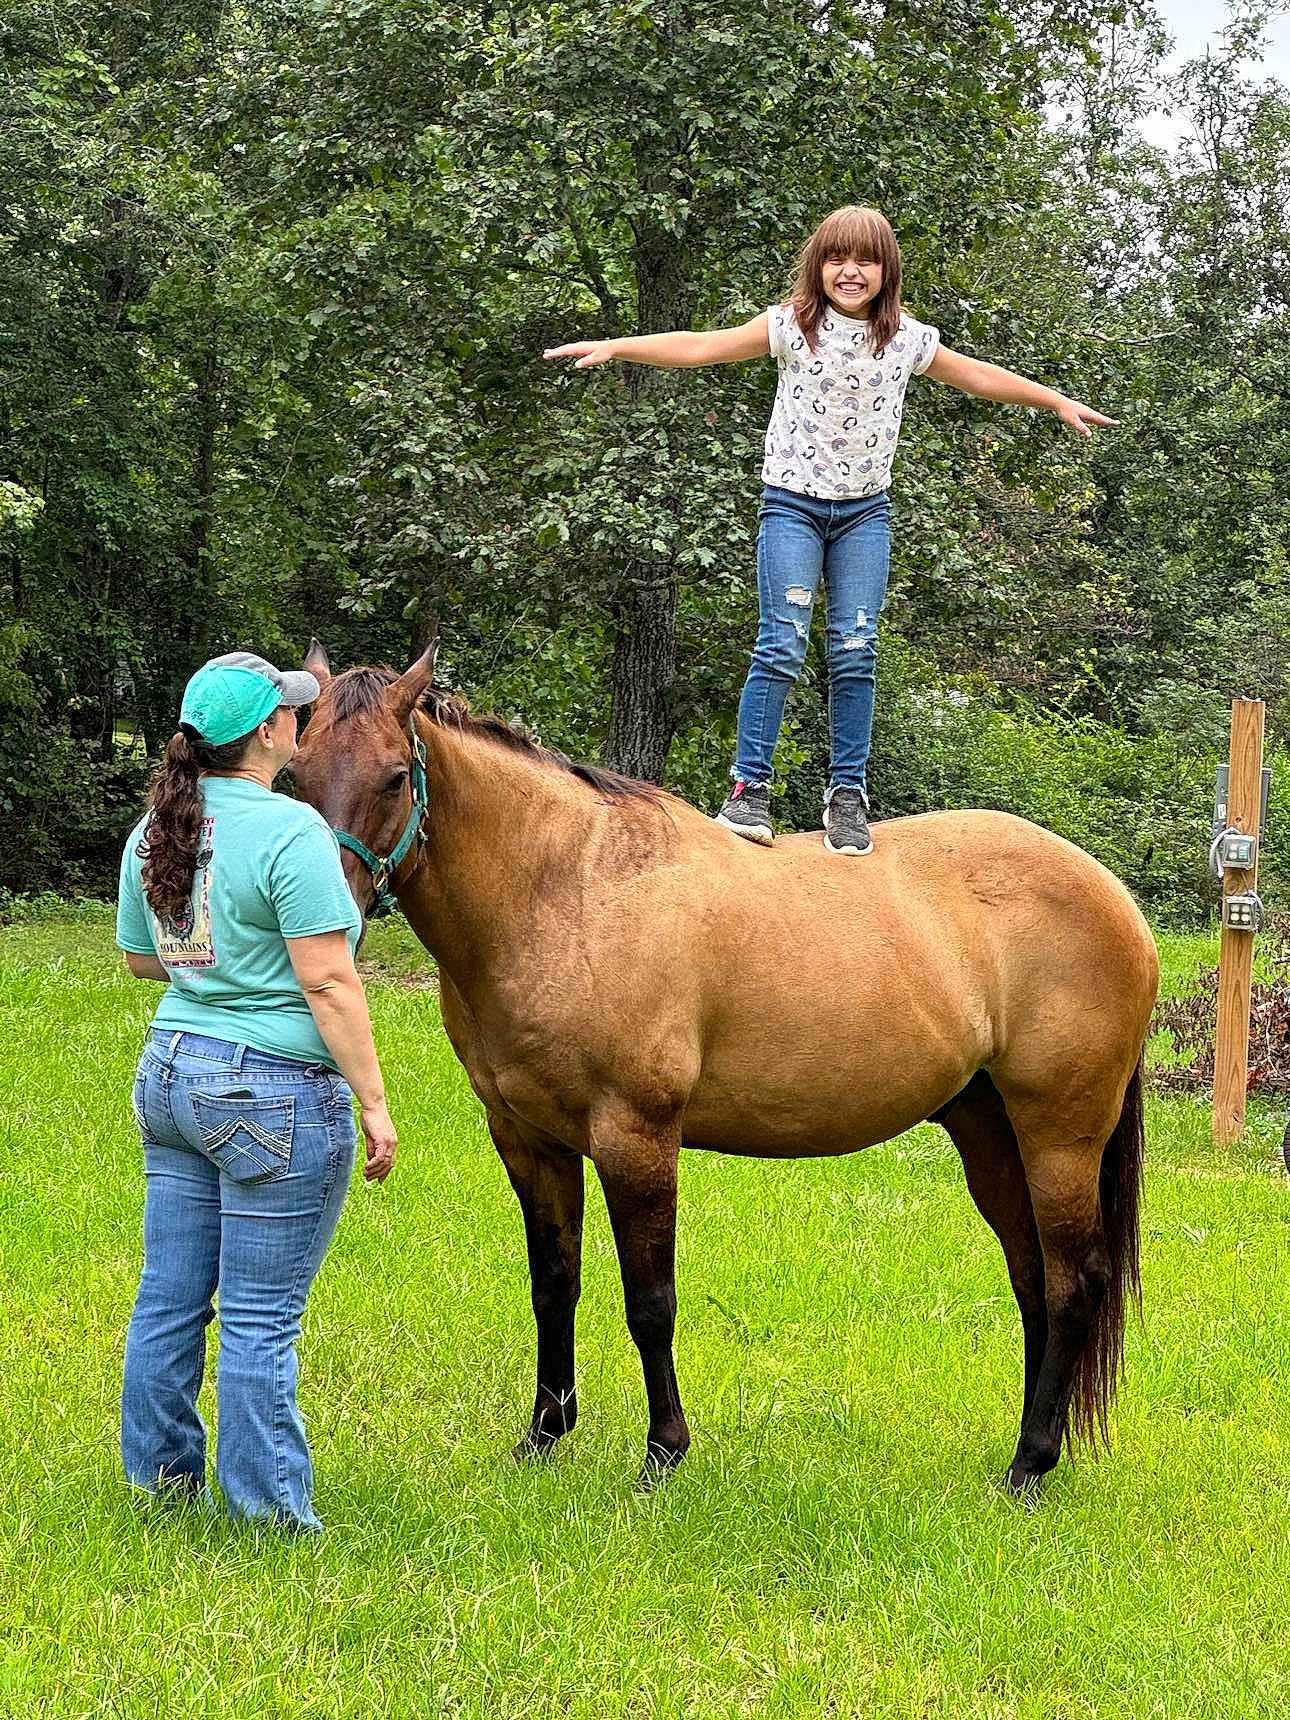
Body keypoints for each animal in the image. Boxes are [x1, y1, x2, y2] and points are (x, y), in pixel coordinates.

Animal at [292, 642, 1159, 1496]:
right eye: (296, 773)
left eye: (394, 776)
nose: (328, 915)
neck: (569, 890)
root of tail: (1116, 897)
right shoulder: (529, 1140)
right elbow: (554, 1287)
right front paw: (541, 1439)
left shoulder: (636, 1138)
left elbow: (650, 1303)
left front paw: (662, 1455)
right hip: (989, 1132)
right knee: (1034, 1280)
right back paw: (1031, 1453)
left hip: (1059, 1138)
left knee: (1075, 1284)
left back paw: (1030, 1465)